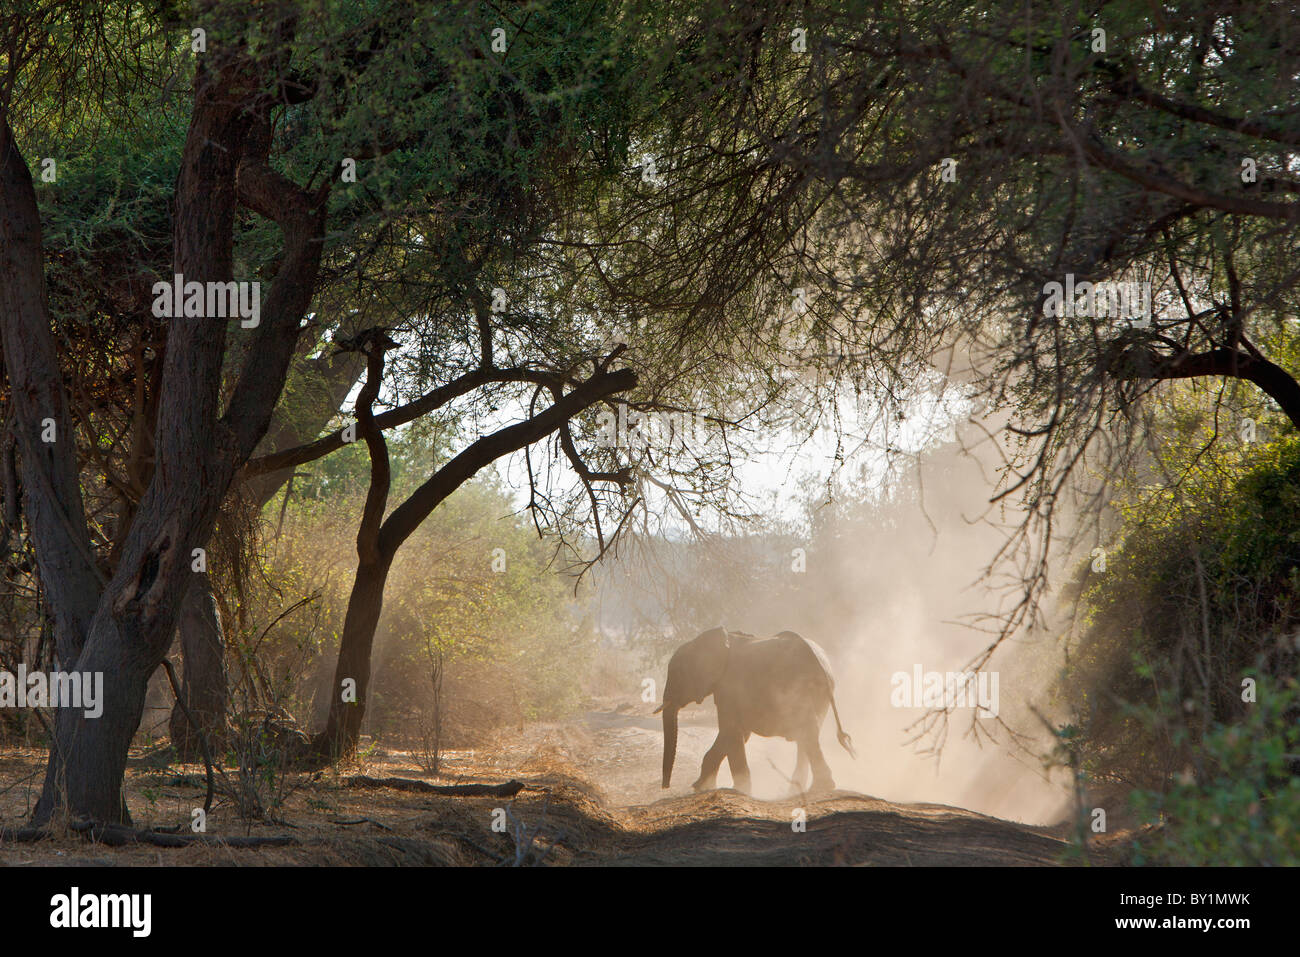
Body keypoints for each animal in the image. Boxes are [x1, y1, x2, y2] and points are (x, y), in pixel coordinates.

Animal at [655, 629, 857, 790]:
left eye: (677, 674)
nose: (666, 786)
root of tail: (817, 660)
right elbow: (737, 734)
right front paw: (701, 787)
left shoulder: (729, 687)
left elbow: (731, 731)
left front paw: (739, 790)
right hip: (817, 693)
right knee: (807, 734)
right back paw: (800, 790)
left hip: (798, 687)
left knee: (807, 732)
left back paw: (820, 788)